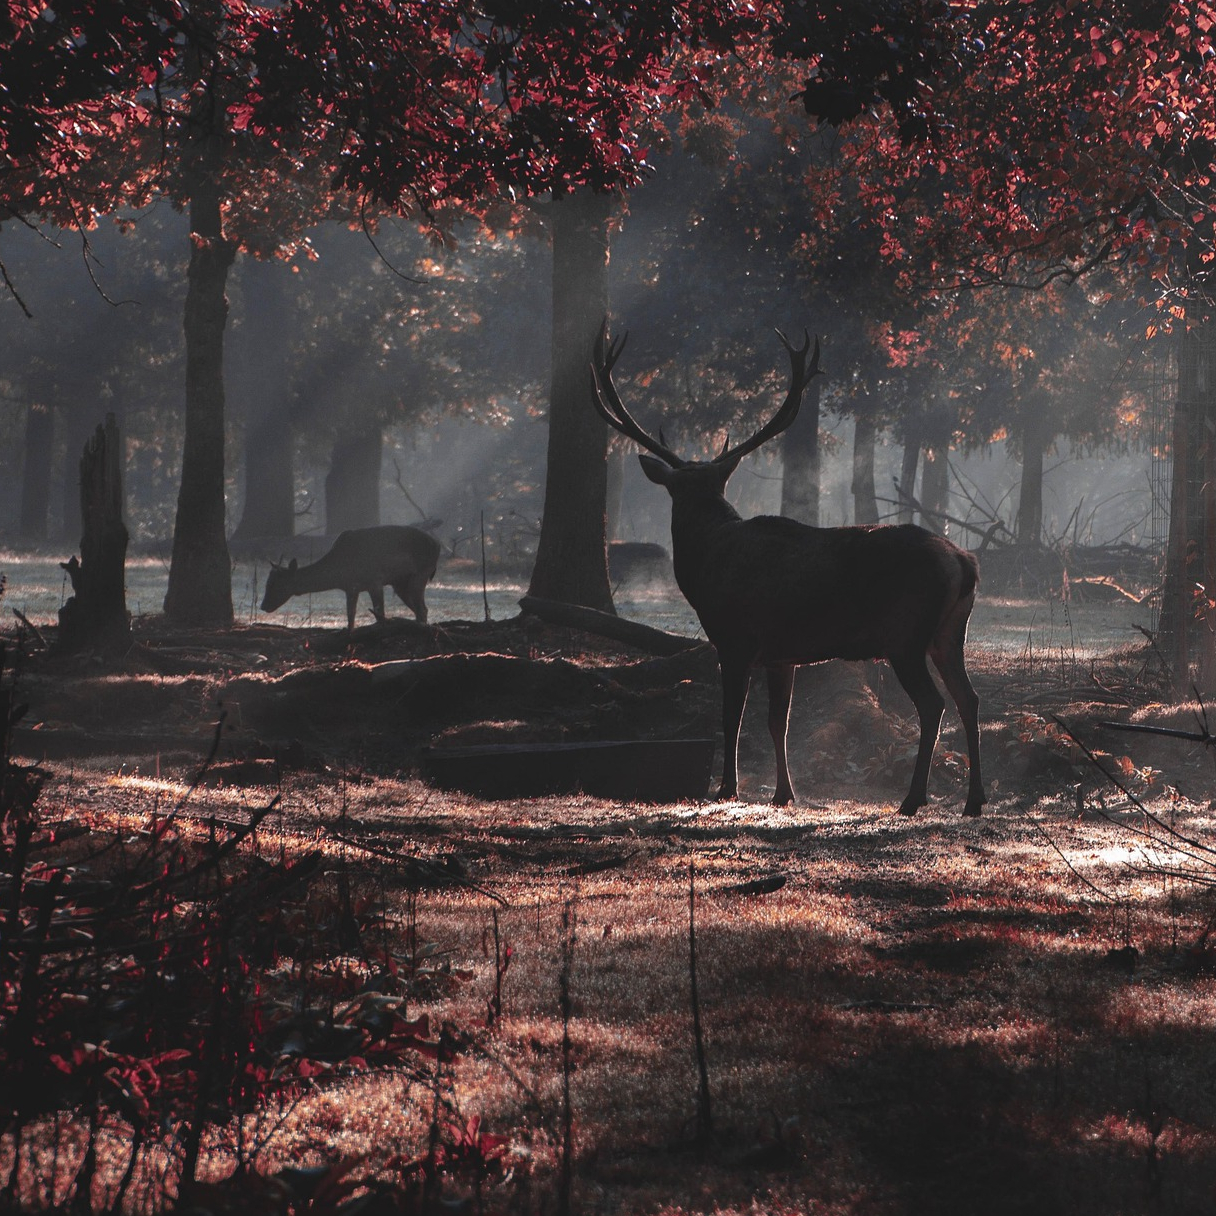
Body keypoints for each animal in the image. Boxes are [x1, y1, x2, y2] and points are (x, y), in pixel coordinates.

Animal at [260, 525, 441, 631]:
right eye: (267, 582)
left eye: (277, 584)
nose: (263, 606)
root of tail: (437, 545)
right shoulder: (350, 588)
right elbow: (350, 616)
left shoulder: (375, 580)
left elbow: (379, 613)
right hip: (400, 583)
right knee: (419, 609)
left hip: (421, 573)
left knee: (422, 609)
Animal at [591, 324, 986, 817]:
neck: (705, 566)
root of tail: (965, 562)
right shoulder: (783, 653)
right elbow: (779, 720)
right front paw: (783, 792)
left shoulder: (734, 640)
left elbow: (733, 716)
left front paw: (727, 789)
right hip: (949, 634)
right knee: (969, 699)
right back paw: (974, 800)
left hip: (905, 634)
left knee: (933, 704)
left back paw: (912, 799)